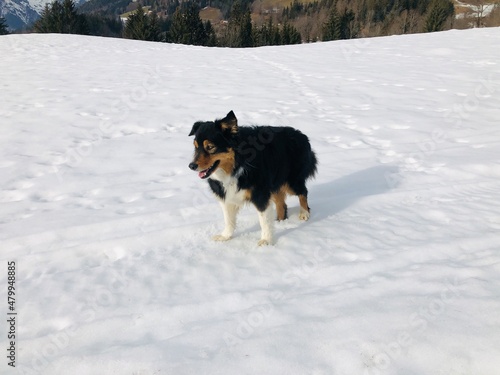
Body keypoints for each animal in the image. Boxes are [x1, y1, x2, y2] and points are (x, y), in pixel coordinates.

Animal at [188, 111, 316, 247]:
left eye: (210, 147)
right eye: (196, 147)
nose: (191, 166)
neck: (236, 165)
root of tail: (302, 135)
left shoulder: (260, 194)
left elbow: (264, 220)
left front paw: (266, 240)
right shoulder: (226, 195)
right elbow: (229, 219)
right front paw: (225, 236)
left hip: (291, 181)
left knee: (303, 192)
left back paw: (304, 213)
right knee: (282, 203)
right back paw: (280, 222)